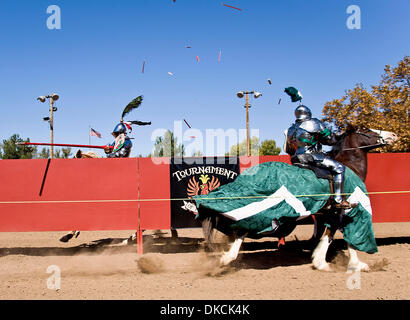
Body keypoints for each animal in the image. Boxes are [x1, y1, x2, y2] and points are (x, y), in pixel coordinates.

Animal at [198, 126, 398, 272]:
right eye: (368, 130)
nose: (393, 135)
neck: (349, 166)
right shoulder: (342, 212)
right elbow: (341, 238)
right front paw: (340, 263)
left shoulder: (328, 215)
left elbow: (329, 236)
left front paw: (325, 261)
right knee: (241, 230)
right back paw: (226, 259)